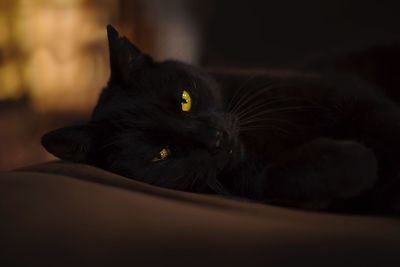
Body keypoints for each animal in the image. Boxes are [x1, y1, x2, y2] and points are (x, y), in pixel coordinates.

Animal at [41, 25, 400, 216]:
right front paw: (356, 161)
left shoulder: (351, 97)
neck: (260, 148)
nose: (214, 138)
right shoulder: (255, 184)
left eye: (185, 100)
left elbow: (386, 125)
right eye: (161, 154)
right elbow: (274, 178)